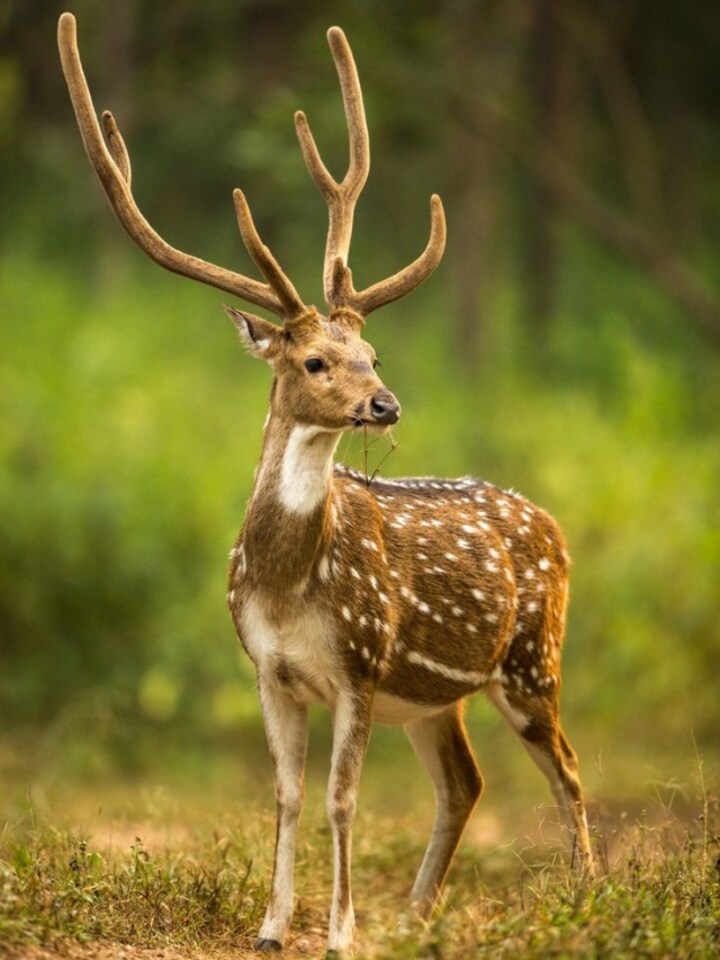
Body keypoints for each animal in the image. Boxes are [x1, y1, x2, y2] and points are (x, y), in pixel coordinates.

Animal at [58, 12, 593, 957]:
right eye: (315, 359)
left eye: (371, 352)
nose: (385, 403)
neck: (285, 583)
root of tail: (552, 525)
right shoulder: (270, 672)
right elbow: (287, 795)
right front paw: (273, 926)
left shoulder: (360, 661)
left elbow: (342, 800)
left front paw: (339, 929)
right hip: (436, 698)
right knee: (466, 782)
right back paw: (416, 917)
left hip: (533, 657)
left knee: (566, 769)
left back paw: (588, 901)